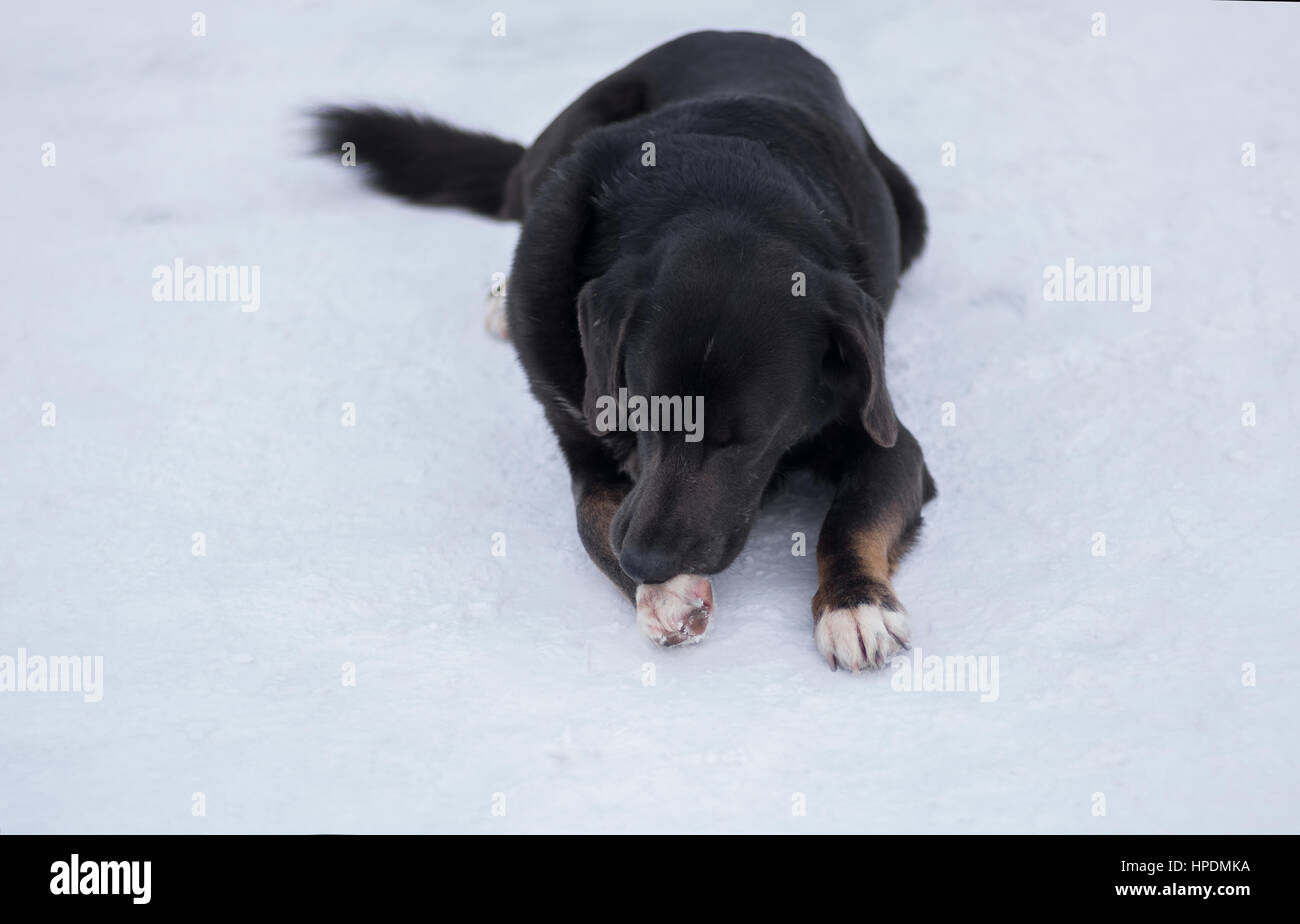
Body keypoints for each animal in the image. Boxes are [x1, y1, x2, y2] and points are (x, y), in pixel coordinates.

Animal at [321, 30, 941, 670]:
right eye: (641, 411)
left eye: (747, 440)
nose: (646, 562)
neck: (723, 191)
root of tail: (739, 34)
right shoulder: (585, 442)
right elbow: (594, 524)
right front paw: (663, 596)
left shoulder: (881, 430)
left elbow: (850, 517)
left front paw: (855, 604)